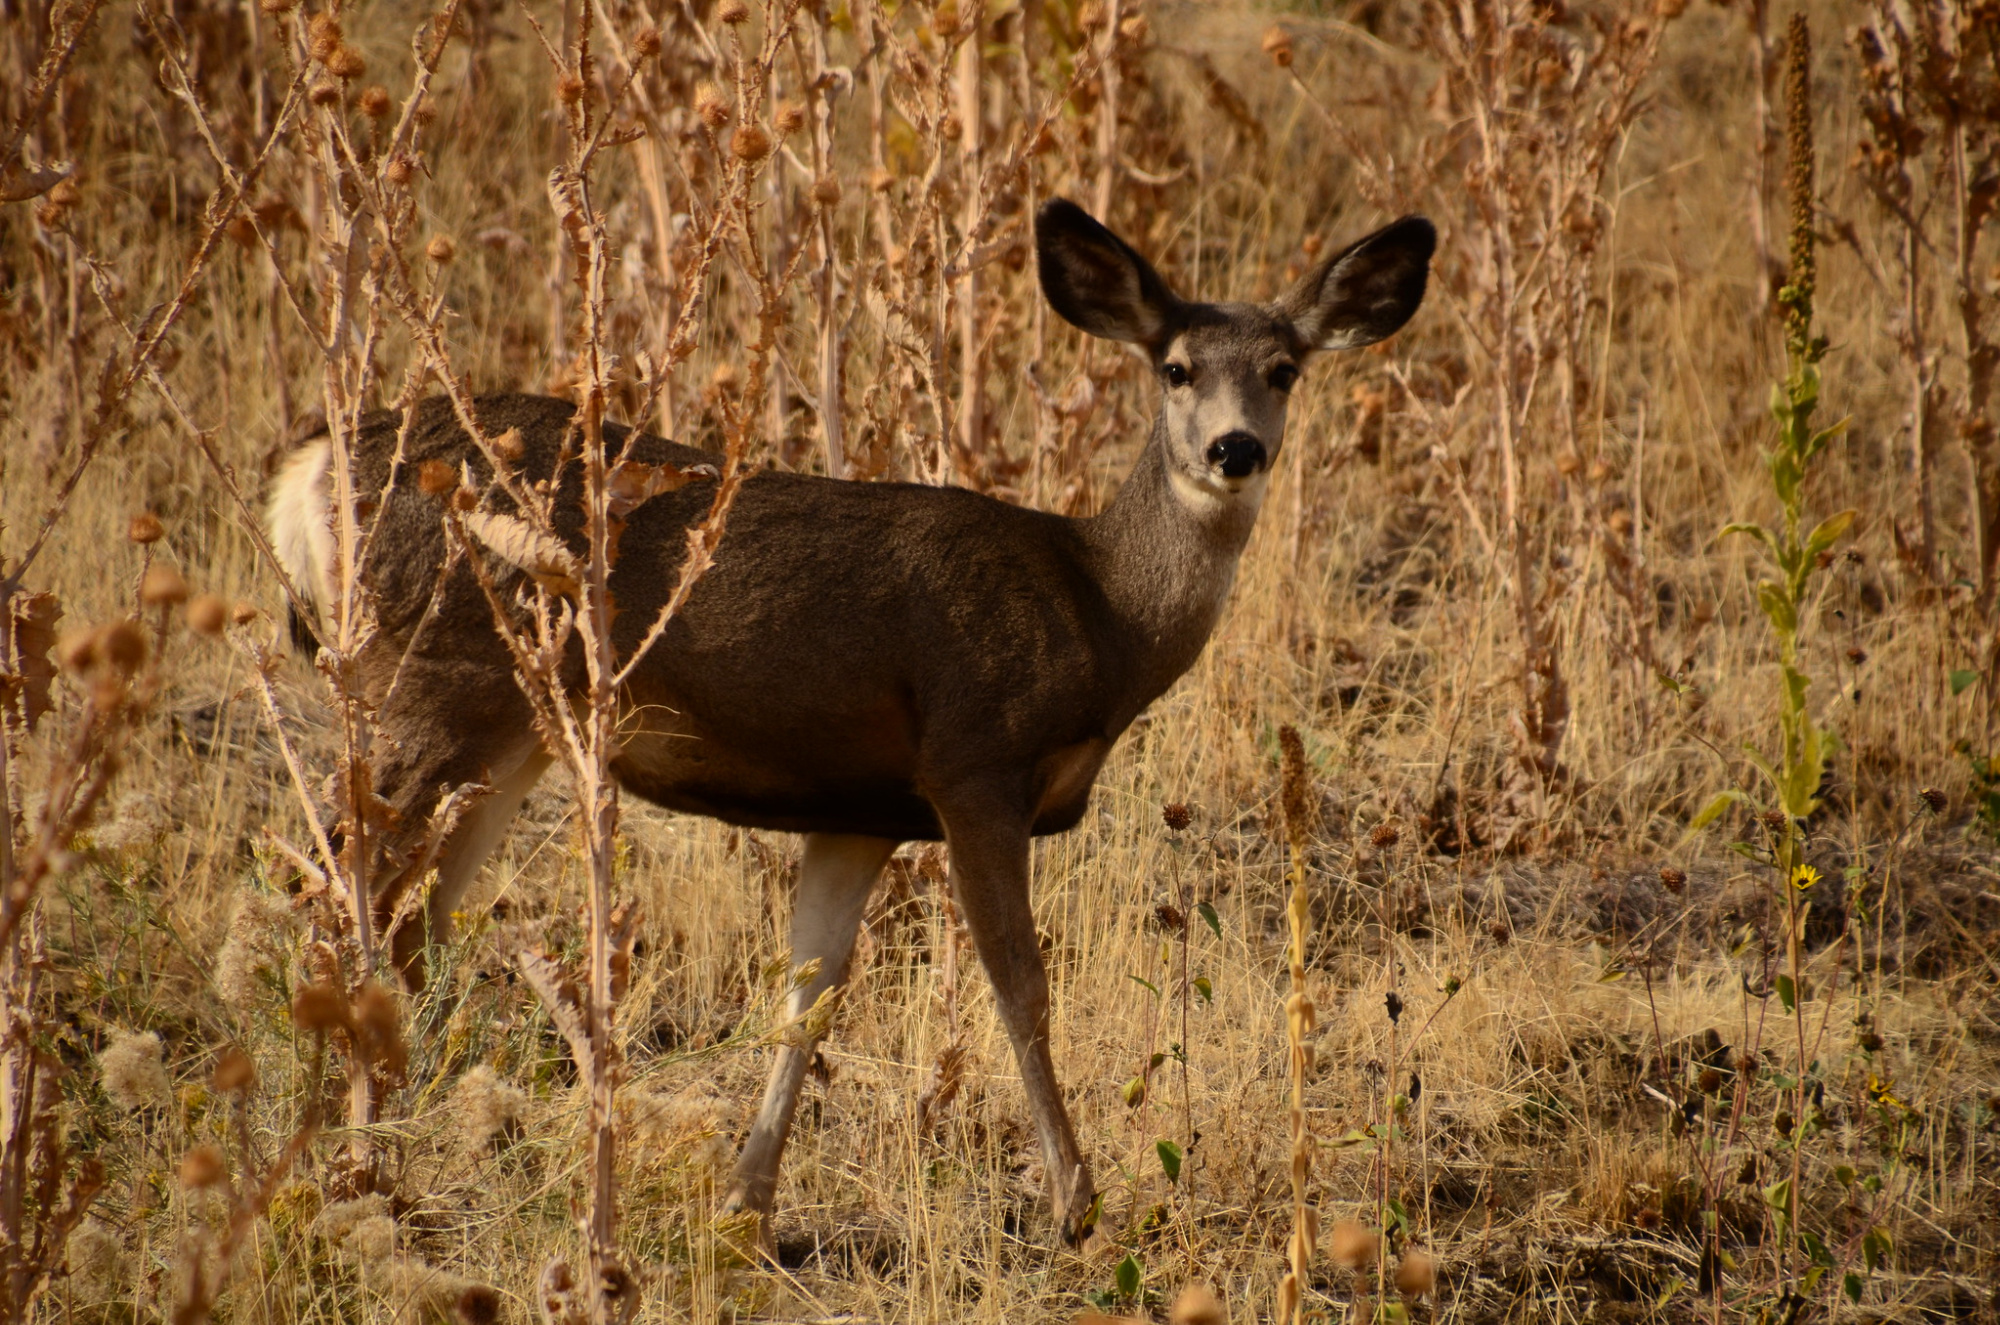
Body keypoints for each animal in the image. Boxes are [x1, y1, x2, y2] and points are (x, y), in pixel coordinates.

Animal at [266, 200, 1432, 1248]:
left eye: (1283, 368)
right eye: (1177, 367)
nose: (1234, 449)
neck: (1102, 613)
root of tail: (308, 467)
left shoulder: (860, 812)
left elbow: (808, 993)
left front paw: (744, 1207)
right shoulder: (973, 759)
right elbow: (1021, 985)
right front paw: (1077, 1204)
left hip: (503, 733)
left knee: (410, 923)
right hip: (433, 682)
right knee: (342, 893)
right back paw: (342, 1169)